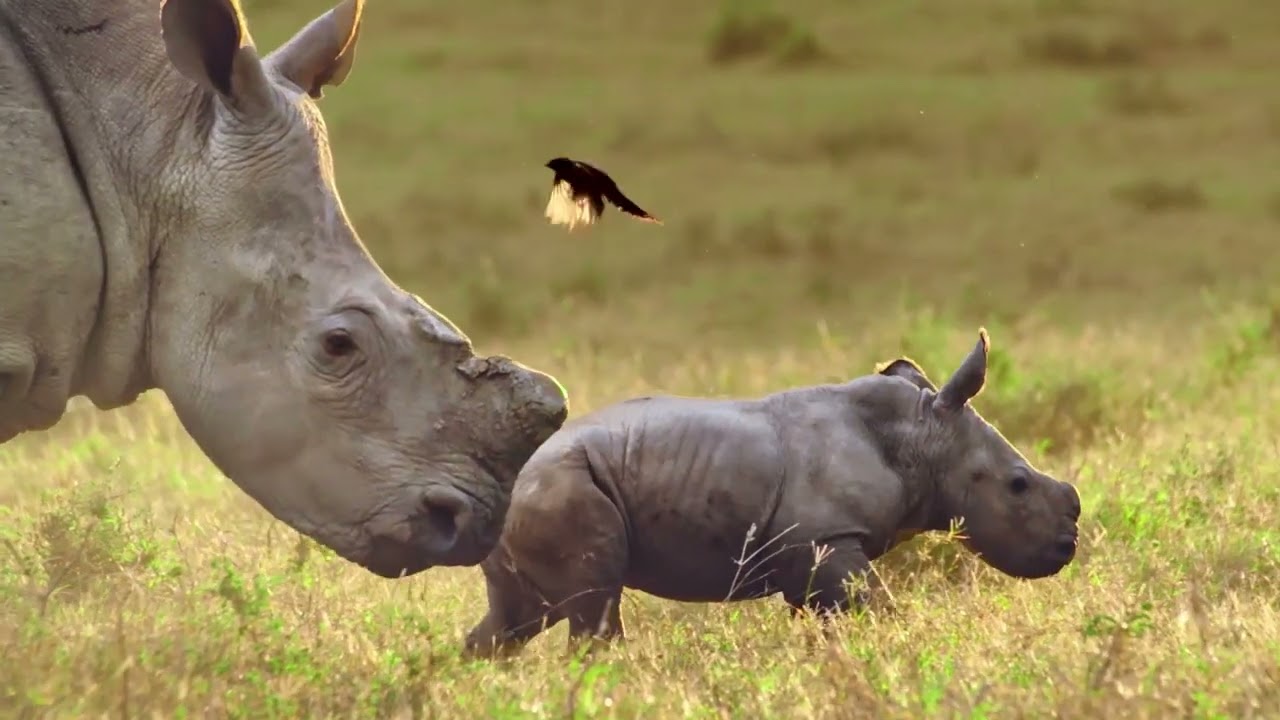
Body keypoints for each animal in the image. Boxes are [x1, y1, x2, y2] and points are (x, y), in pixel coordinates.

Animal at [464, 329, 1082, 657]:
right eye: (1017, 485)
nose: (1066, 545)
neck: (923, 438)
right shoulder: (829, 542)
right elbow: (879, 610)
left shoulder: (811, 559)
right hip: (562, 487)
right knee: (593, 611)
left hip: (537, 497)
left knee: (517, 619)